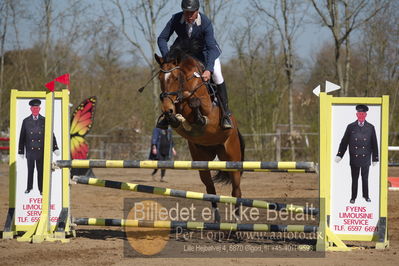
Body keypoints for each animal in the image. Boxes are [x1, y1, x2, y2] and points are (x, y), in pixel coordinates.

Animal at [155, 40, 245, 221]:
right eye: (161, 78)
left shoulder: (207, 109)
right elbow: (180, 114)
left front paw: (195, 114)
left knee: (236, 190)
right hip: (202, 161)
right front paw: (172, 118)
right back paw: (217, 220)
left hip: (232, 157)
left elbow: (194, 101)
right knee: (210, 190)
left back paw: (237, 219)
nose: (167, 110)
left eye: (175, 78)